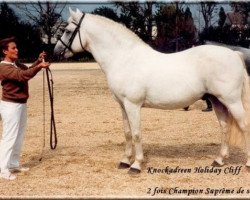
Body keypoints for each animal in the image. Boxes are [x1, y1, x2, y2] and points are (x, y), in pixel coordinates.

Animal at [54, 8, 250, 173]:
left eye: (68, 31)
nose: (56, 52)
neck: (124, 58)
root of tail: (234, 54)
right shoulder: (123, 106)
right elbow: (127, 133)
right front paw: (124, 161)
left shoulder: (132, 105)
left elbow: (136, 134)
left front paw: (136, 164)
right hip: (217, 101)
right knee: (225, 127)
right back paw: (219, 160)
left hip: (232, 101)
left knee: (244, 126)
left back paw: (247, 164)